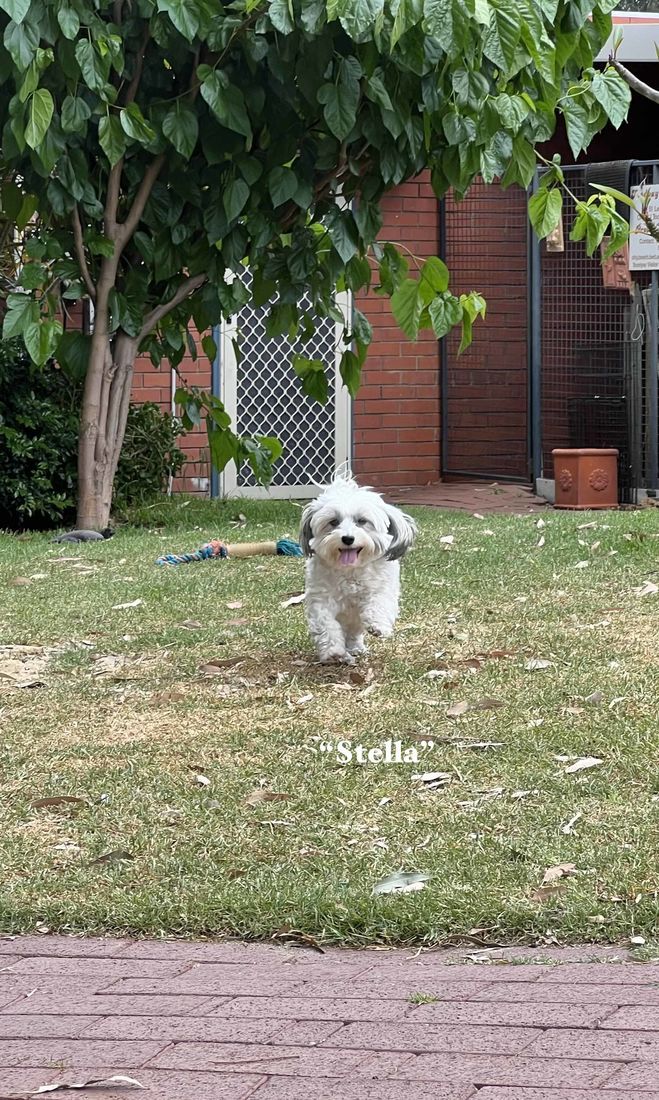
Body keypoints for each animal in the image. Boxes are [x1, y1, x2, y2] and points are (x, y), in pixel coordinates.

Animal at [301, 470, 418, 660]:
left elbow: (379, 603)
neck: (351, 571)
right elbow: (326, 624)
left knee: (354, 631)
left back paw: (356, 647)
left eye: (362, 521)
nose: (348, 538)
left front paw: (377, 625)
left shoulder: (383, 589)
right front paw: (333, 651)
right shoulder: (322, 599)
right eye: (334, 522)